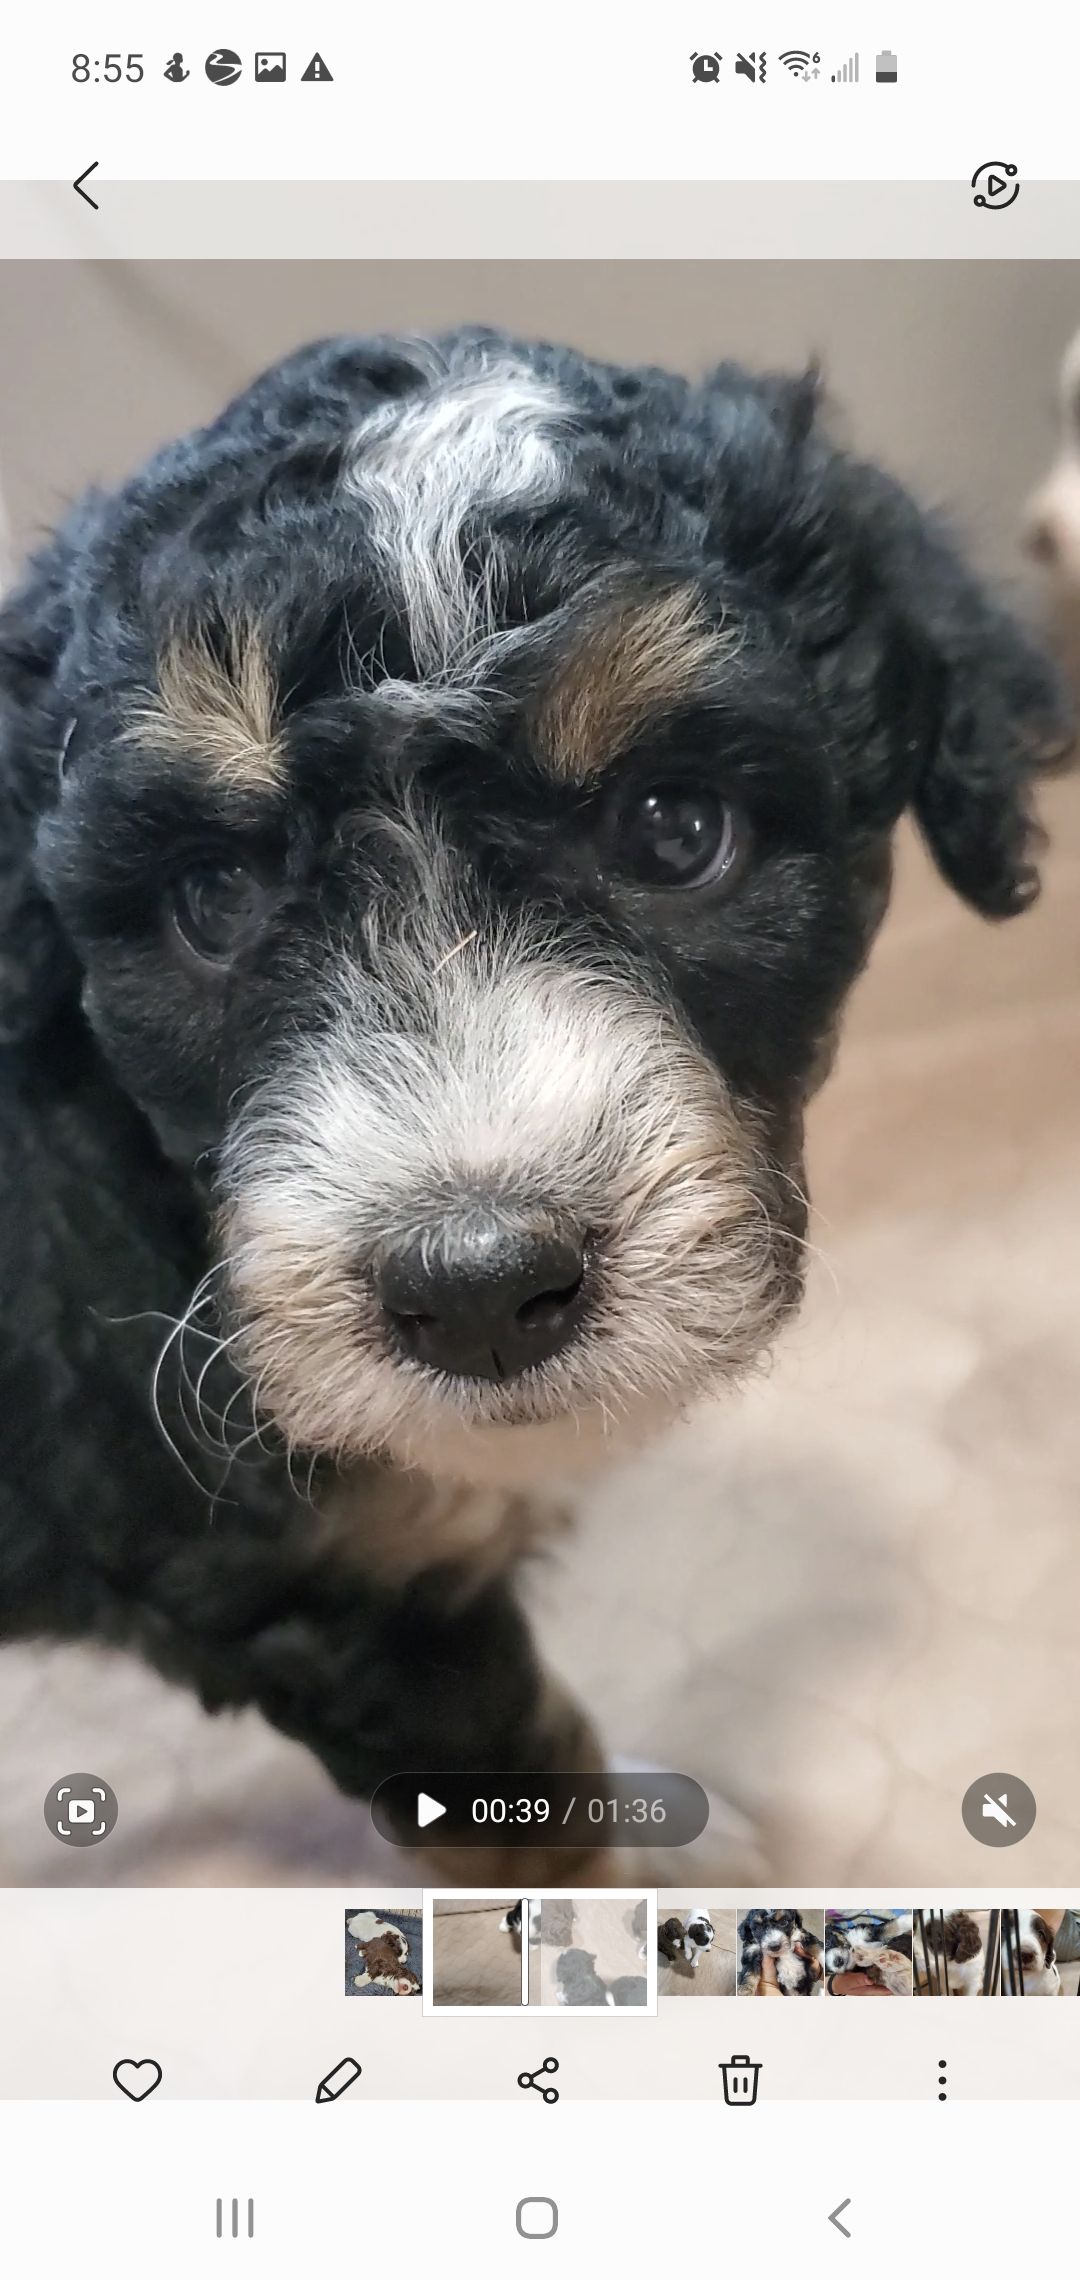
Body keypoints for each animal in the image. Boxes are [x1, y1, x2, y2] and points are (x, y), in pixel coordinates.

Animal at [0, 325, 1068, 1875]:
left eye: (677, 829)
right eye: (213, 899)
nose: (479, 1289)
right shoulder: (336, 1587)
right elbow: (527, 1791)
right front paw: (635, 1887)